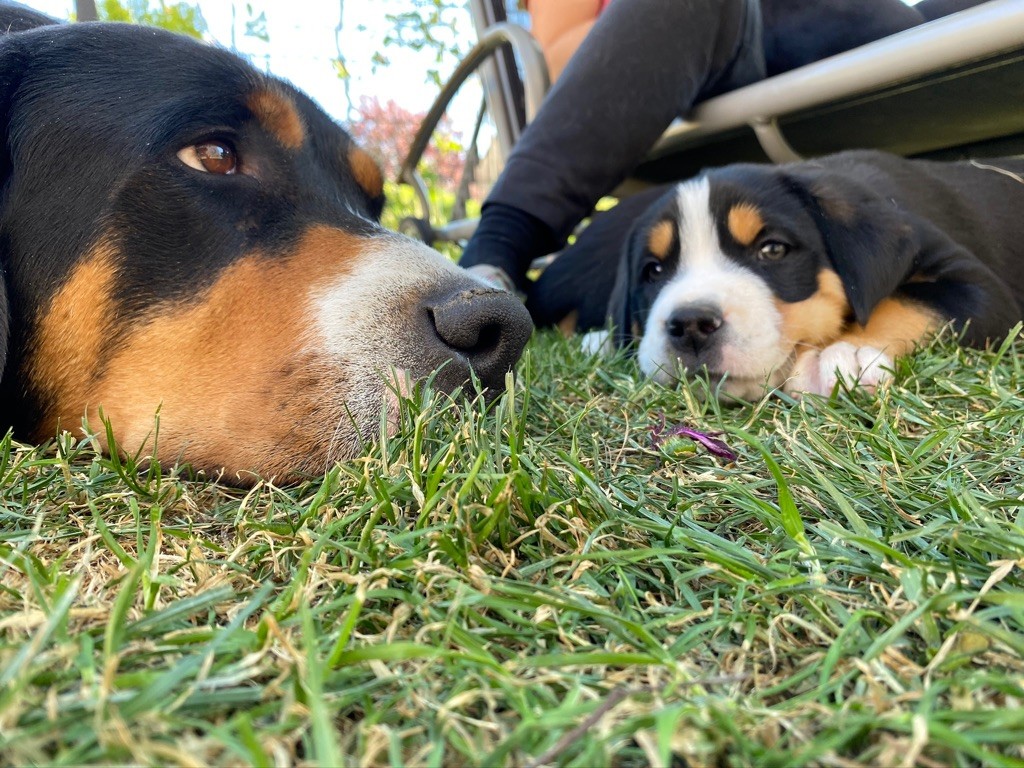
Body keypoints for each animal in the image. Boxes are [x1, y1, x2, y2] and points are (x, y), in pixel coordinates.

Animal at [606, 150, 1024, 398]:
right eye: (653, 270)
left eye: (773, 249)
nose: (691, 324)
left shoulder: (979, 288)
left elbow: (904, 304)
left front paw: (842, 352)